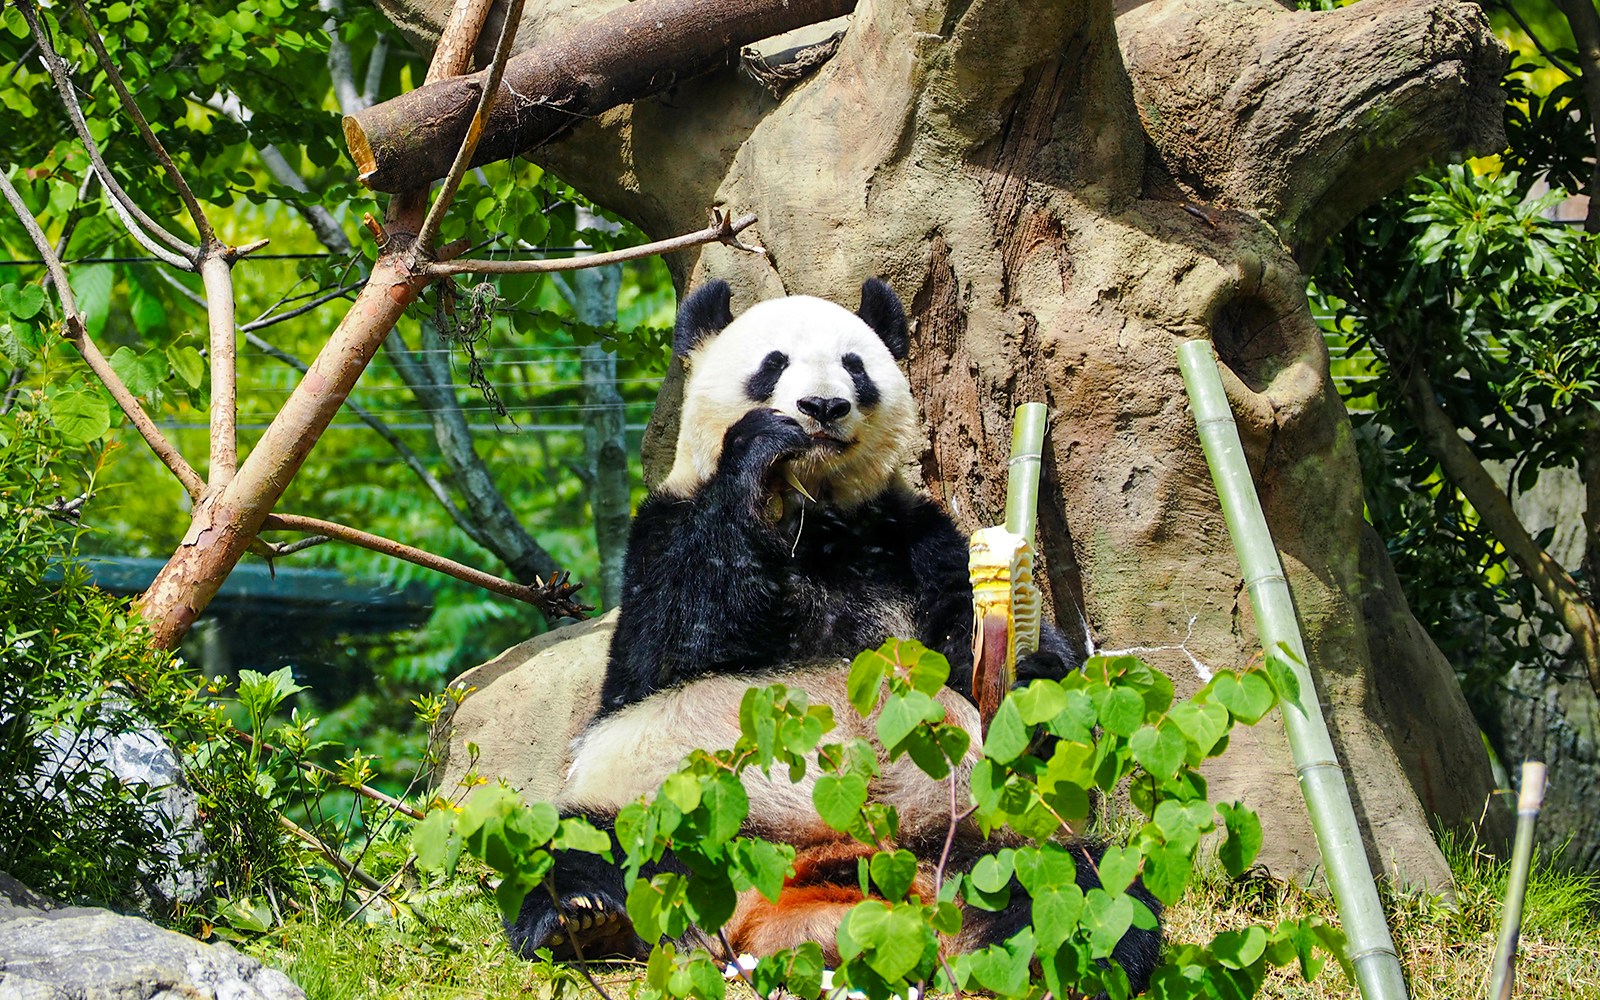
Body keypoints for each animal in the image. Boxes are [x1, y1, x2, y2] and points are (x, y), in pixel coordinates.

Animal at [507, 279, 1162, 992]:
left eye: (856, 366)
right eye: (772, 364)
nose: (822, 406)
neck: (815, 513)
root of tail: (804, 897)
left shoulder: (912, 535)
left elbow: (965, 652)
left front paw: (1036, 671)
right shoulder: (661, 528)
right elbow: (666, 645)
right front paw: (757, 445)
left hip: (973, 836)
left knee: (1085, 883)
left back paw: (1066, 953)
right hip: (666, 801)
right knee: (583, 843)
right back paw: (580, 918)